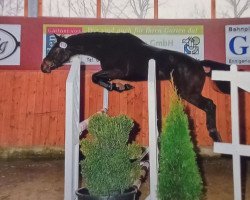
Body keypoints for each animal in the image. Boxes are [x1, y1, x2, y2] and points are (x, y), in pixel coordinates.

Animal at [41, 32, 230, 142]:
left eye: (56, 50)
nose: (44, 67)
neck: (107, 47)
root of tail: (198, 64)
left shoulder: (118, 70)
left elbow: (95, 77)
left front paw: (119, 87)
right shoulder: (112, 72)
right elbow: (98, 79)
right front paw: (119, 86)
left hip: (188, 93)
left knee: (210, 105)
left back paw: (214, 134)